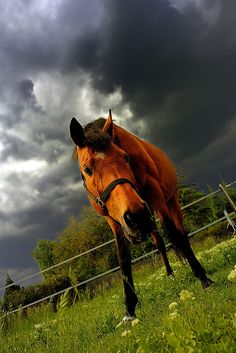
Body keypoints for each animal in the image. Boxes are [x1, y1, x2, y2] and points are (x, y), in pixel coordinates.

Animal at [69, 109, 213, 320]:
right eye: (87, 169)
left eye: (125, 158)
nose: (136, 216)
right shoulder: (113, 220)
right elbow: (123, 258)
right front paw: (130, 310)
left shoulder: (155, 195)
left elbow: (174, 235)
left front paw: (203, 278)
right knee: (159, 243)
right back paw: (170, 275)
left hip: (169, 202)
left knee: (181, 235)